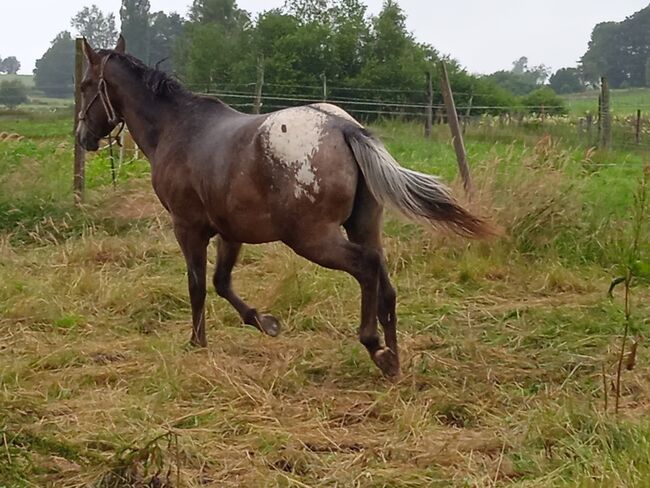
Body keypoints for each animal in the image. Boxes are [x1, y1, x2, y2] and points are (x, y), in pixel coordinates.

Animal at [76, 37, 492, 378]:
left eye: (84, 87)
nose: (82, 138)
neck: (177, 129)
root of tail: (343, 127)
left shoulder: (187, 227)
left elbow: (197, 285)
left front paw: (197, 342)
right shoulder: (230, 232)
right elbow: (221, 282)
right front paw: (265, 322)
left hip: (312, 238)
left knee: (366, 268)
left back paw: (375, 348)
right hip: (364, 226)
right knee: (385, 286)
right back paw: (394, 357)